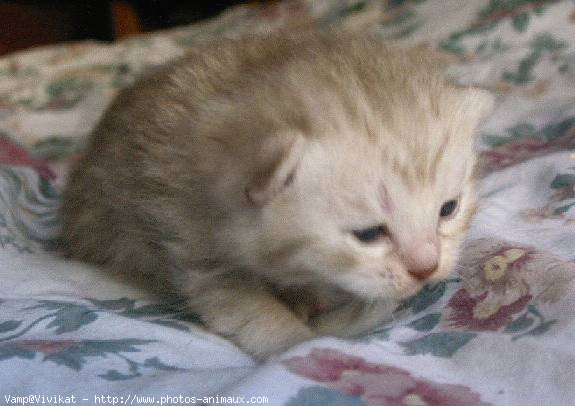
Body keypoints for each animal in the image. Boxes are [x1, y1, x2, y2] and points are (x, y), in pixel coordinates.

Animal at [62, 33, 496, 360]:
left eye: (448, 210)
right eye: (369, 234)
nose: (427, 269)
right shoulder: (190, 240)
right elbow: (250, 312)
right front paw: (302, 341)